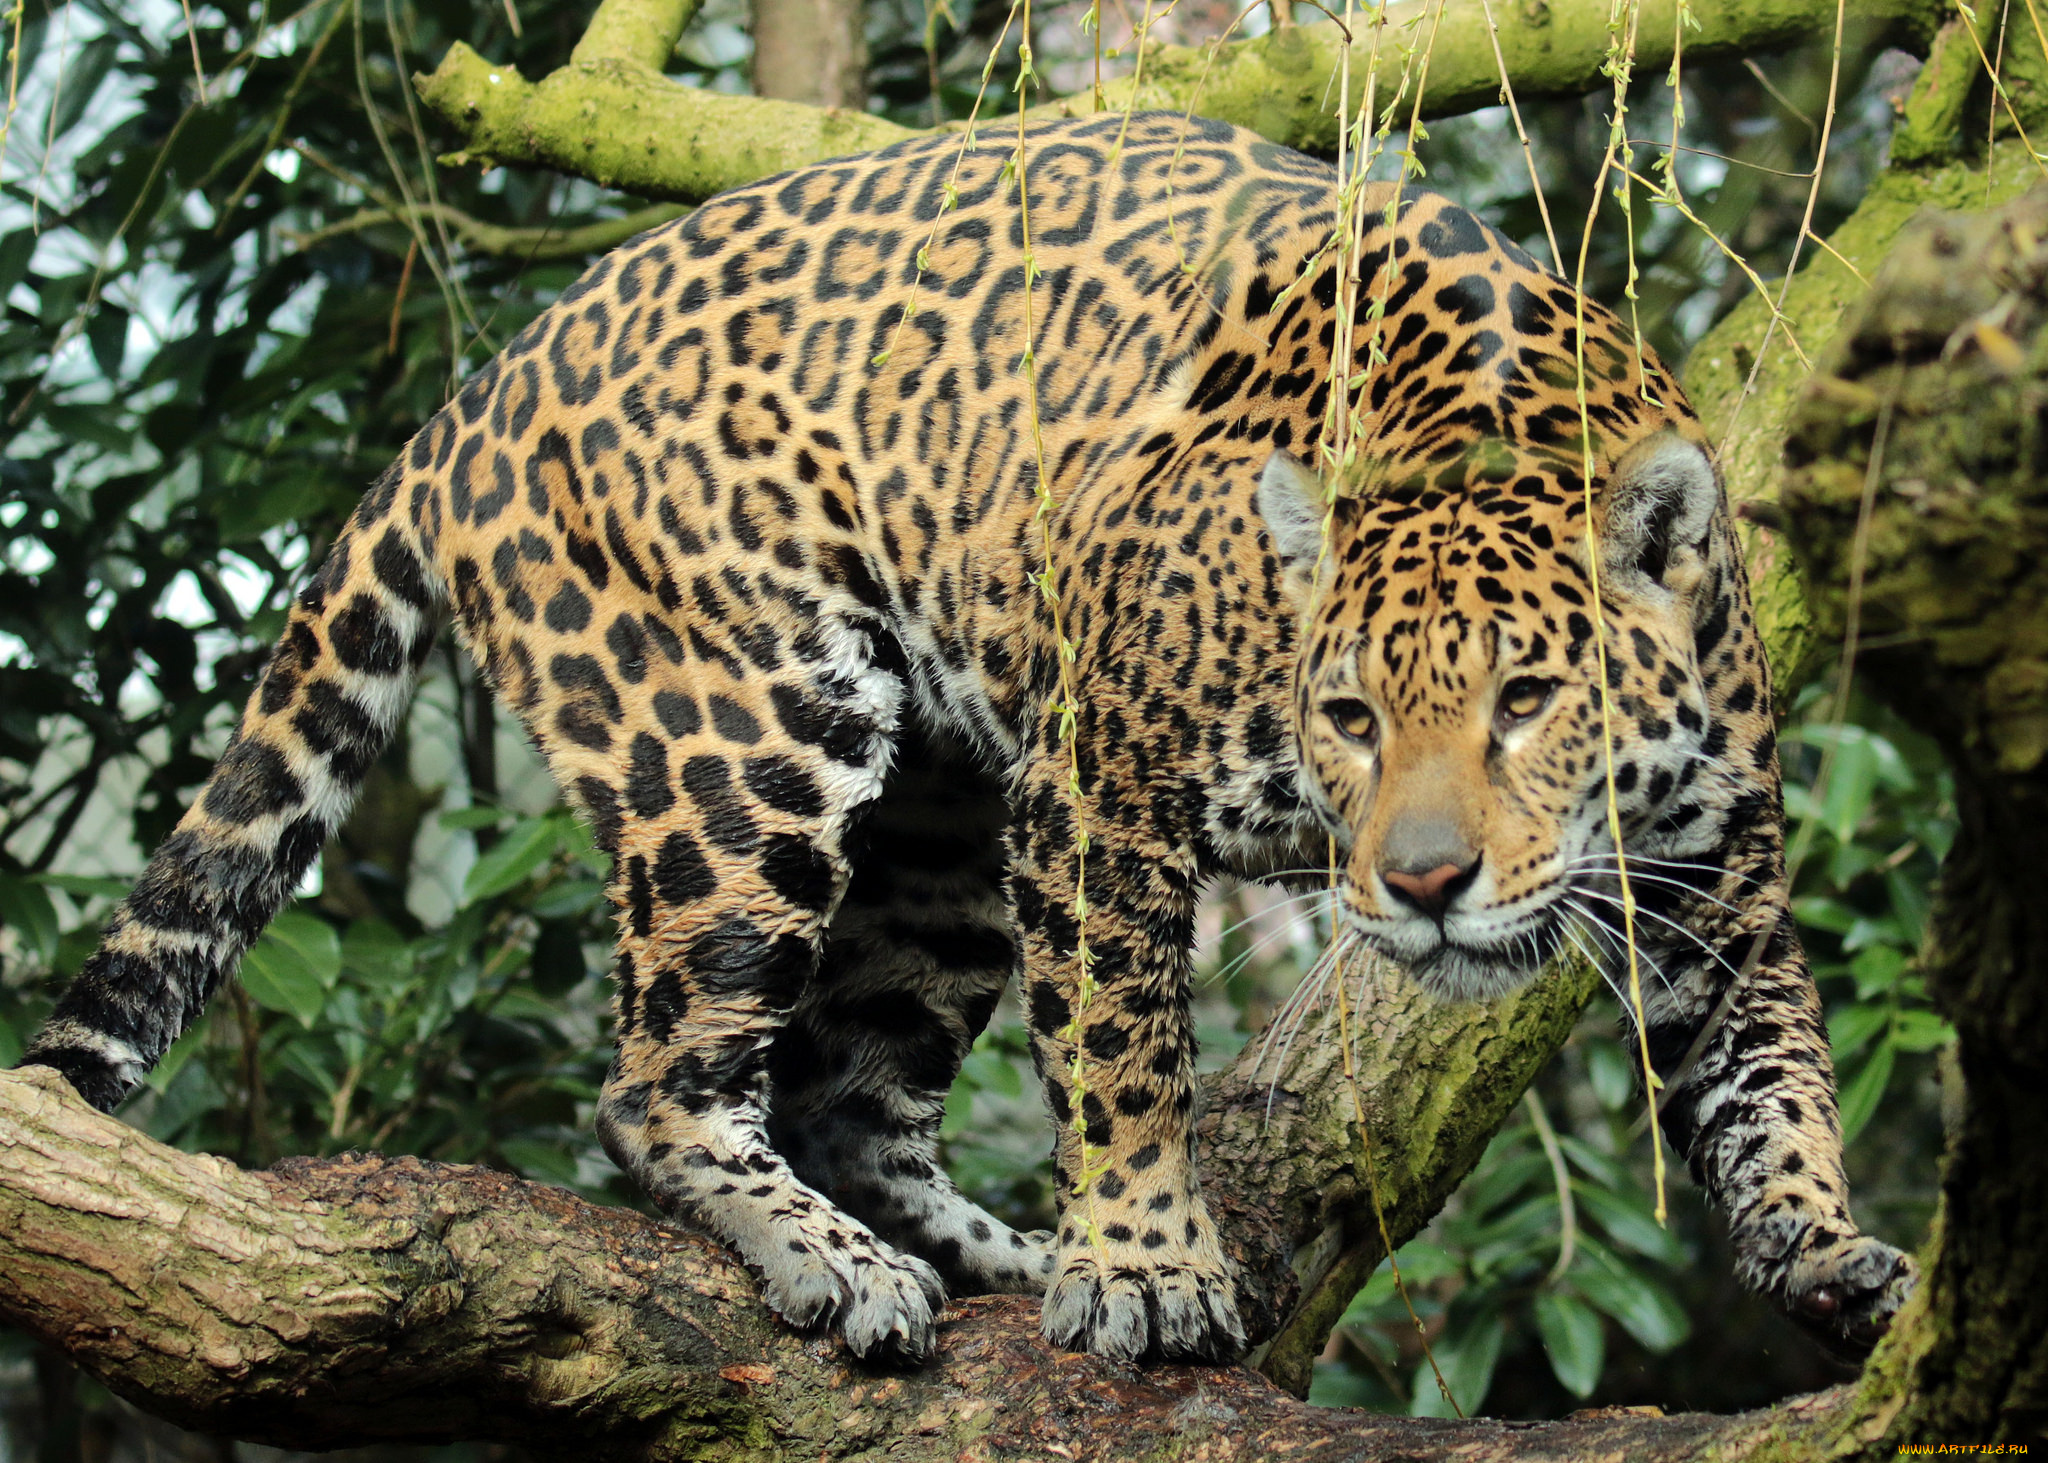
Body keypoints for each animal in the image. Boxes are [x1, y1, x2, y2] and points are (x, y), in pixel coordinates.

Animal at [21, 111, 1914, 1367]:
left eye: (1527, 699)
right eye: (1351, 718)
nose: (1425, 882)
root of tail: (484, 385)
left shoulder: (1722, 875)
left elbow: (1773, 1070)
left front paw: (1827, 1247)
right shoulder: (1095, 782)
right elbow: (1125, 1046)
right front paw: (1146, 1263)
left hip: (935, 823)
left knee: (848, 1087)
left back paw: (991, 1249)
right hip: (747, 744)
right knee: (663, 1079)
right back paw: (846, 1264)